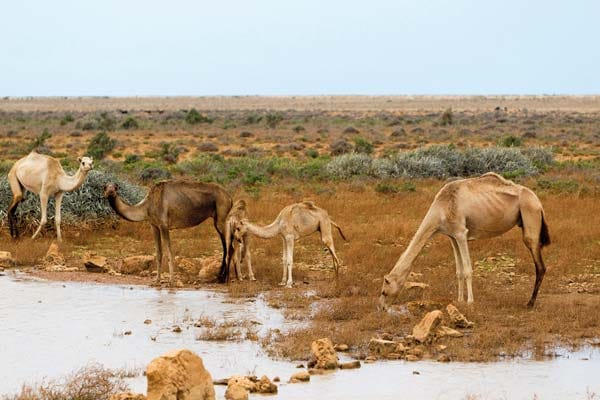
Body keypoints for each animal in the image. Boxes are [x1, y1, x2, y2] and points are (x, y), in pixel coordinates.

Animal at [102, 180, 233, 286]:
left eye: (115, 187)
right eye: (105, 187)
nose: (110, 192)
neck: (146, 206)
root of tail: (230, 198)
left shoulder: (164, 225)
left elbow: (169, 253)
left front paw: (171, 281)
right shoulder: (154, 225)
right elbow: (159, 253)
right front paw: (157, 281)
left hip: (222, 217)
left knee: (229, 246)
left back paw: (224, 279)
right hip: (217, 219)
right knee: (226, 246)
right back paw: (220, 278)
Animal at [378, 172, 552, 310]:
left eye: (384, 291)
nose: (381, 308)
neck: (441, 208)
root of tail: (539, 202)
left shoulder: (461, 233)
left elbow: (468, 270)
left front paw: (470, 302)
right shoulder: (452, 236)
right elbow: (459, 271)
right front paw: (460, 300)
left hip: (530, 215)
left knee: (539, 265)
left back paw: (530, 303)